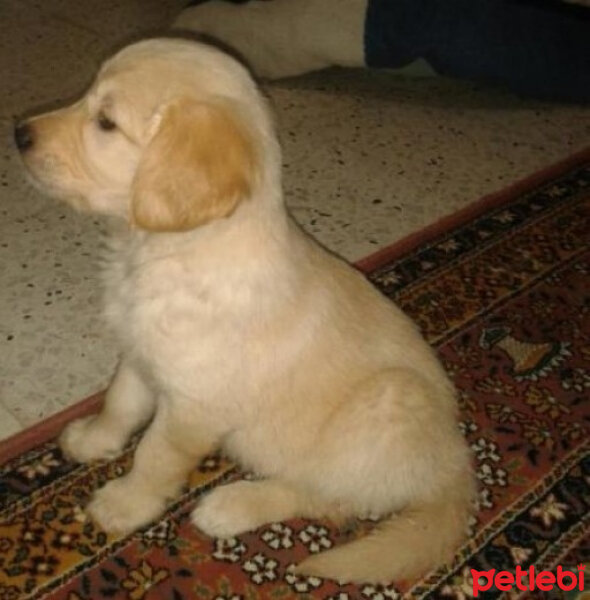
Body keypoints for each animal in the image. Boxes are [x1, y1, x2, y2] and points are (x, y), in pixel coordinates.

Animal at [13, 36, 476, 580]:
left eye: (105, 122)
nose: (18, 133)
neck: (165, 250)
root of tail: (454, 466)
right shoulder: (142, 351)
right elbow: (120, 402)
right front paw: (92, 440)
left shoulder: (194, 404)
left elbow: (154, 456)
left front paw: (124, 504)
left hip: (384, 408)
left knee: (326, 497)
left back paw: (231, 507)